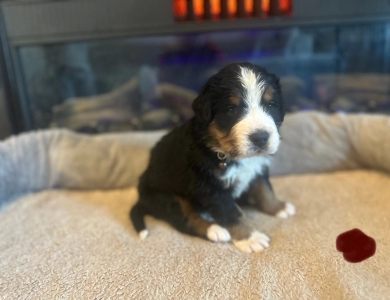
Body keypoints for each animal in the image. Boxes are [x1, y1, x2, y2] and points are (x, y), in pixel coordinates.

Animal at [129, 61, 294, 253]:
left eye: (270, 105)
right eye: (231, 109)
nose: (260, 137)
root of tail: (141, 198)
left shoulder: (258, 169)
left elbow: (265, 190)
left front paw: (278, 207)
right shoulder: (211, 188)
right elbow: (232, 213)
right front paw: (250, 238)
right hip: (167, 197)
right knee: (184, 219)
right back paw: (214, 230)